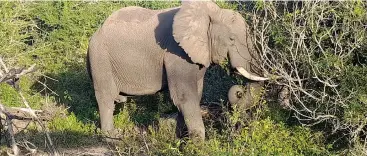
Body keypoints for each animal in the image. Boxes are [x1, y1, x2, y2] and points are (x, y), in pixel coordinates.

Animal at [86, 0, 270, 143]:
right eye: (231, 39)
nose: (238, 91)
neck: (209, 14)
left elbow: (195, 93)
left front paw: (182, 139)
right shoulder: (176, 53)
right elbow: (184, 96)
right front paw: (196, 145)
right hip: (100, 58)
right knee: (105, 97)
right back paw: (112, 137)